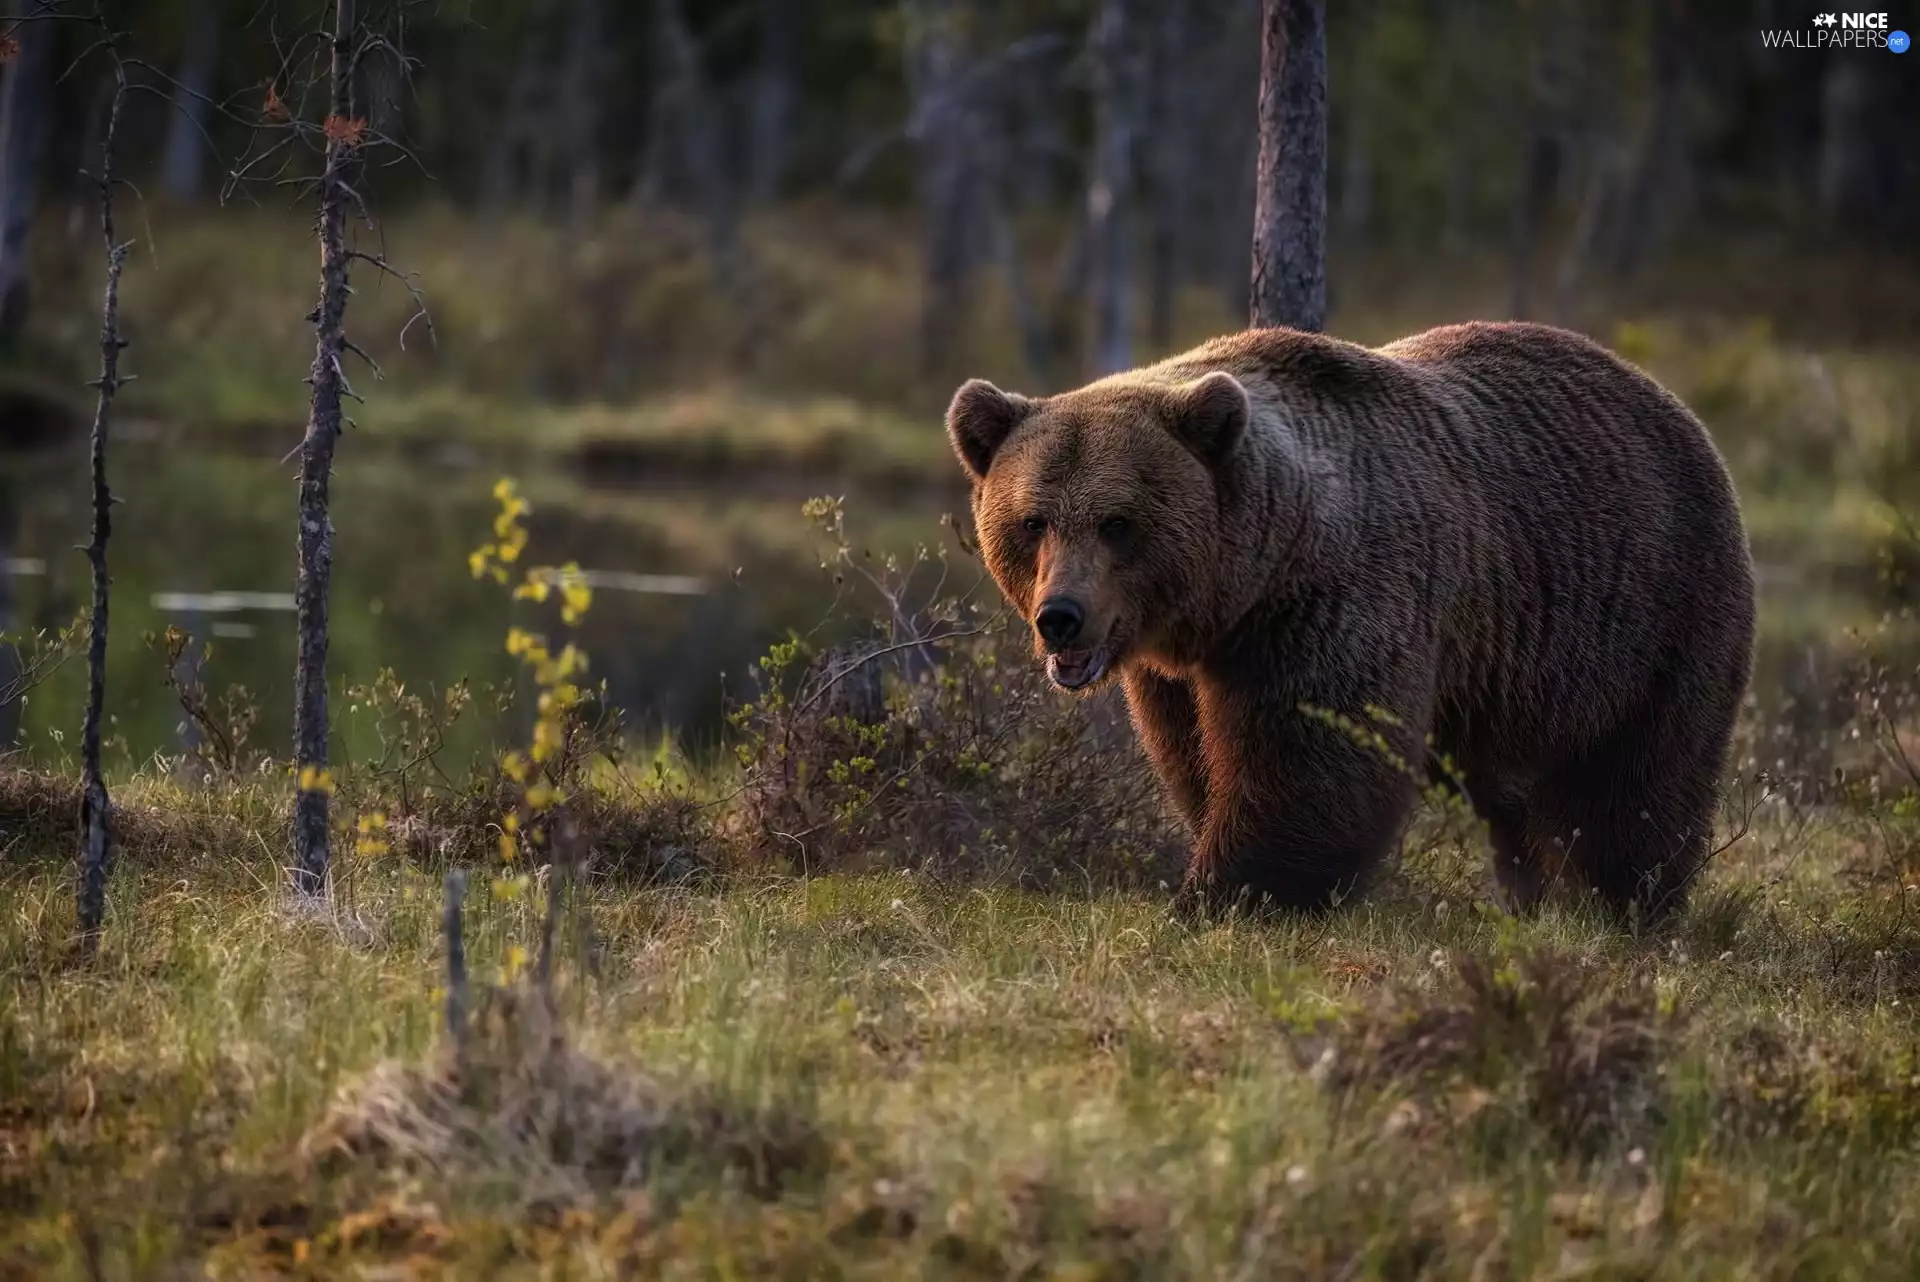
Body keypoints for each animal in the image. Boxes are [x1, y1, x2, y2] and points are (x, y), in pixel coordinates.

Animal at [945, 322, 1755, 925]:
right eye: (1032, 521)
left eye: (1118, 523)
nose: (1062, 619)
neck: (1250, 583)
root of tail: (1672, 404)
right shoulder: (1177, 666)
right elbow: (1192, 756)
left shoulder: (1340, 602)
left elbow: (1309, 766)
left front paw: (1223, 894)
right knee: (1523, 800)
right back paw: (1538, 898)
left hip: (1651, 612)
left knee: (1636, 781)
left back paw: (1621, 907)